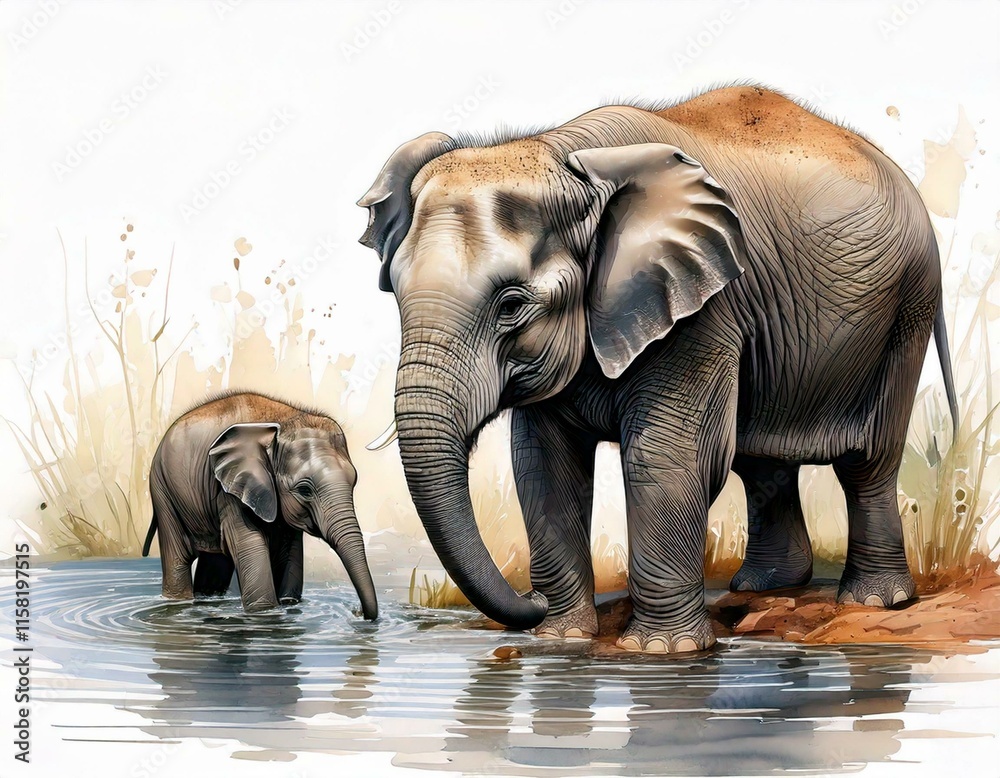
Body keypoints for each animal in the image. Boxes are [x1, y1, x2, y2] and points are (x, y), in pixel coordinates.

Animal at [142, 391, 378, 618]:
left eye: (355, 481)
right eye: (304, 490)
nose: (356, 611)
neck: (284, 420)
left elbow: (288, 555)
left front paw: (288, 604)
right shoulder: (229, 492)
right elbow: (252, 550)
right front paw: (264, 612)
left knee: (216, 562)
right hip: (162, 489)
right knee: (178, 557)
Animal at [357, 85, 959, 653]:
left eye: (510, 305)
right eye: (394, 292)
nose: (530, 599)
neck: (561, 153)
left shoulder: (703, 310)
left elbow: (666, 455)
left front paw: (661, 651)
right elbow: (543, 466)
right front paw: (562, 639)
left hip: (907, 309)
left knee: (868, 460)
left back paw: (875, 601)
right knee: (762, 463)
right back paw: (765, 587)